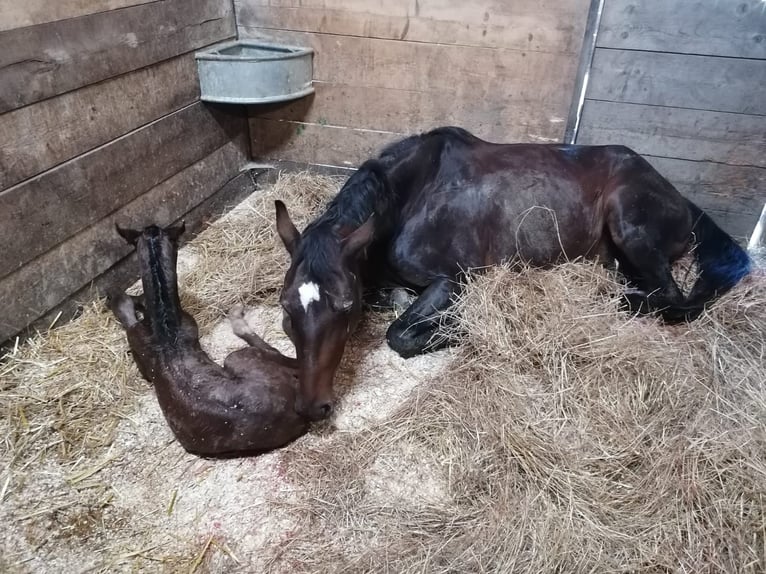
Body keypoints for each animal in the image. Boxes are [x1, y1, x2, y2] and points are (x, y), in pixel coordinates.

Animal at [111, 223, 308, 456]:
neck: (164, 321)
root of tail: (298, 408)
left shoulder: (139, 346)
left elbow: (126, 313)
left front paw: (121, 299)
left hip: (236, 357)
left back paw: (237, 316)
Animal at [274, 127, 752, 424]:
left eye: (345, 306)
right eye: (285, 310)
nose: (311, 408)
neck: (411, 196)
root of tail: (680, 198)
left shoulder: (454, 278)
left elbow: (400, 335)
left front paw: (460, 330)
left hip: (628, 221)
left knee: (672, 299)